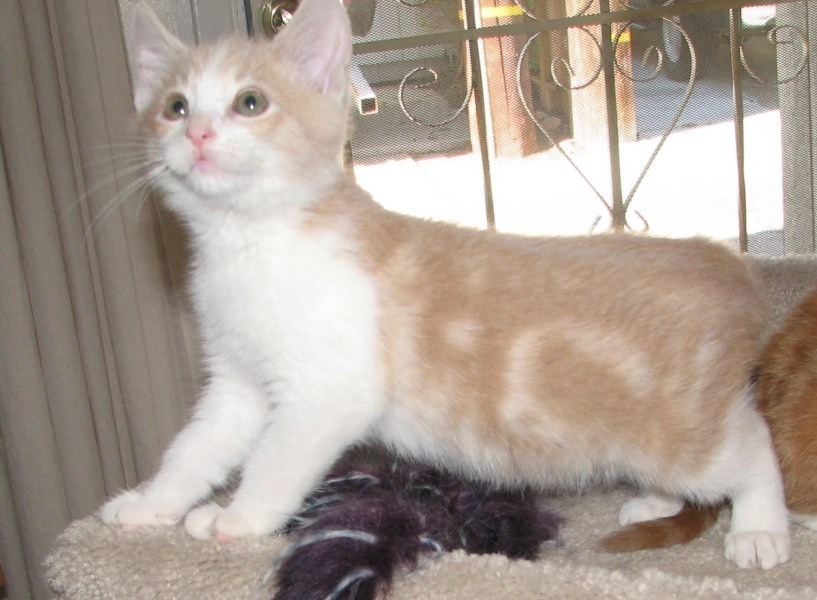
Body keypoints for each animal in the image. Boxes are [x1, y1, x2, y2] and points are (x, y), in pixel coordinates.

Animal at [99, 0, 788, 568]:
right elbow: (195, 448)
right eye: (174, 106)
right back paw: (658, 500)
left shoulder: (329, 391)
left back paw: (760, 527)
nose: (197, 134)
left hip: (681, 428)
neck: (250, 239)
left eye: (250, 102)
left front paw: (237, 520)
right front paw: (150, 505)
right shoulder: (238, 381)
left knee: (752, 445)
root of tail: (724, 261)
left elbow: (275, 461)